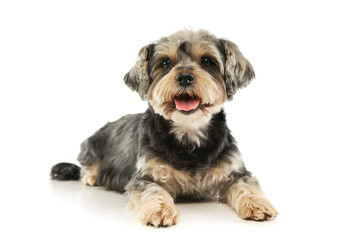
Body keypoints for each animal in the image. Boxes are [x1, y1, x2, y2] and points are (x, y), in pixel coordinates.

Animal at [49, 29, 278, 227]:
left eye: (207, 61)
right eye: (166, 62)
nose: (184, 76)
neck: (188, 134)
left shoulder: (234, 171)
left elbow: (246, 185)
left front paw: (257, 204)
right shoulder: (145, 176)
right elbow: (153, 191)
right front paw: (159, 210)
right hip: (90, 145)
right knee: (86, 166)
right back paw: (91, 176)